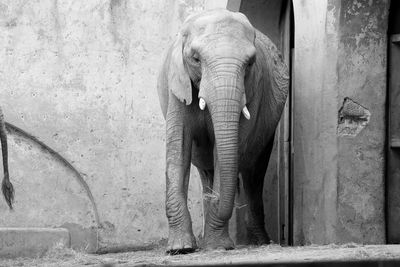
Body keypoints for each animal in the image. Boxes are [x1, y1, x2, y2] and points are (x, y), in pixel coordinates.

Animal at [158, 9, 290, 254]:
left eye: (249, 63)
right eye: (196, 59)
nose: (216, 199)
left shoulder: (252, 90)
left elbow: (226, 151)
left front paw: (217, 246)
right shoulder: (177, 85)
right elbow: (178, 149)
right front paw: (180, 248)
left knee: (254, 175)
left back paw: (260, 242)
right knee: (206, 171)